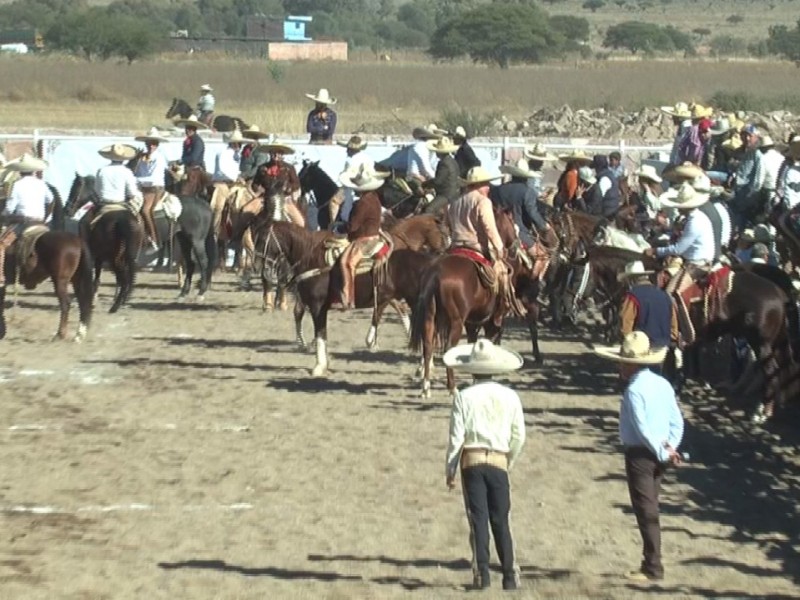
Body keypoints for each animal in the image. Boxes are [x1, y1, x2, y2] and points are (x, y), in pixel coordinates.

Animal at [410, 207, 520, 398]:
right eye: (511, 222)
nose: (514, 246)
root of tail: (435, 273)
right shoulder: (491, 323)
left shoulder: (471, 323)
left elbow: (472, 344)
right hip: (455, 321)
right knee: (448, 347)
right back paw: (452, 388)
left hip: (430, 317)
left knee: (428, 345)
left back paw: (426, 387)